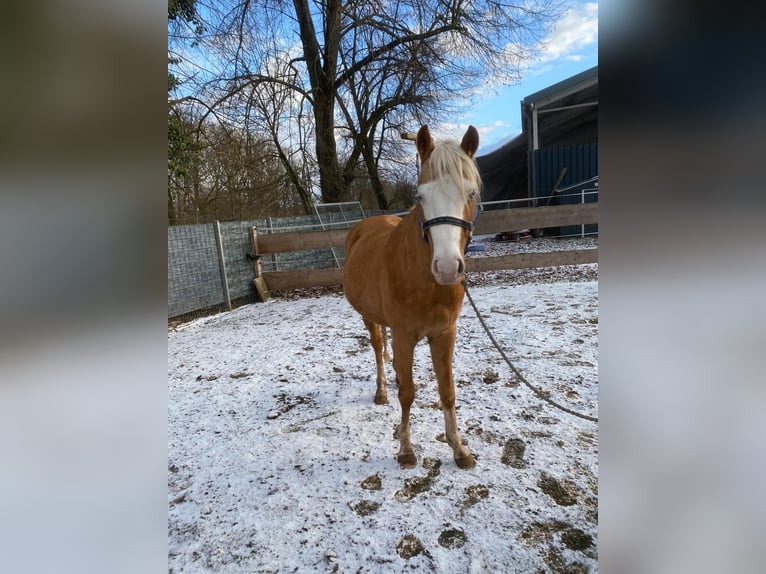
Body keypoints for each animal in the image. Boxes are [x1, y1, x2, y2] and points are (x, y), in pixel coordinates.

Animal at [343, 124, 481, 469]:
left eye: (471, 193)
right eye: (420, 197)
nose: (447, 267)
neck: (425, 284)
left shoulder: (445, 334)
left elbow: (447, 391)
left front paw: (459, 449)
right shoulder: (405, 335)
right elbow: (407, 393)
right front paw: (406, 449)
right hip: (368, 317)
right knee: (378, 346)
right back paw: (381, 389)